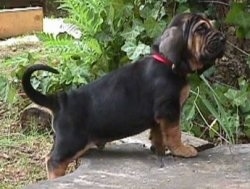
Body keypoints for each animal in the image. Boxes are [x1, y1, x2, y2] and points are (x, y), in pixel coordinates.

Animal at [21, 12, 225, 179]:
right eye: (201, 29)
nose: (223, 38)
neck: (167, 62)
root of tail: (59, 101)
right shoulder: (169, 110)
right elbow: (175, 133)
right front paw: (182, 150)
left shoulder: (158, 118)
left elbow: (158, 136)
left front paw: (159, 151)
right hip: (71, 142)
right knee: (53, 161)